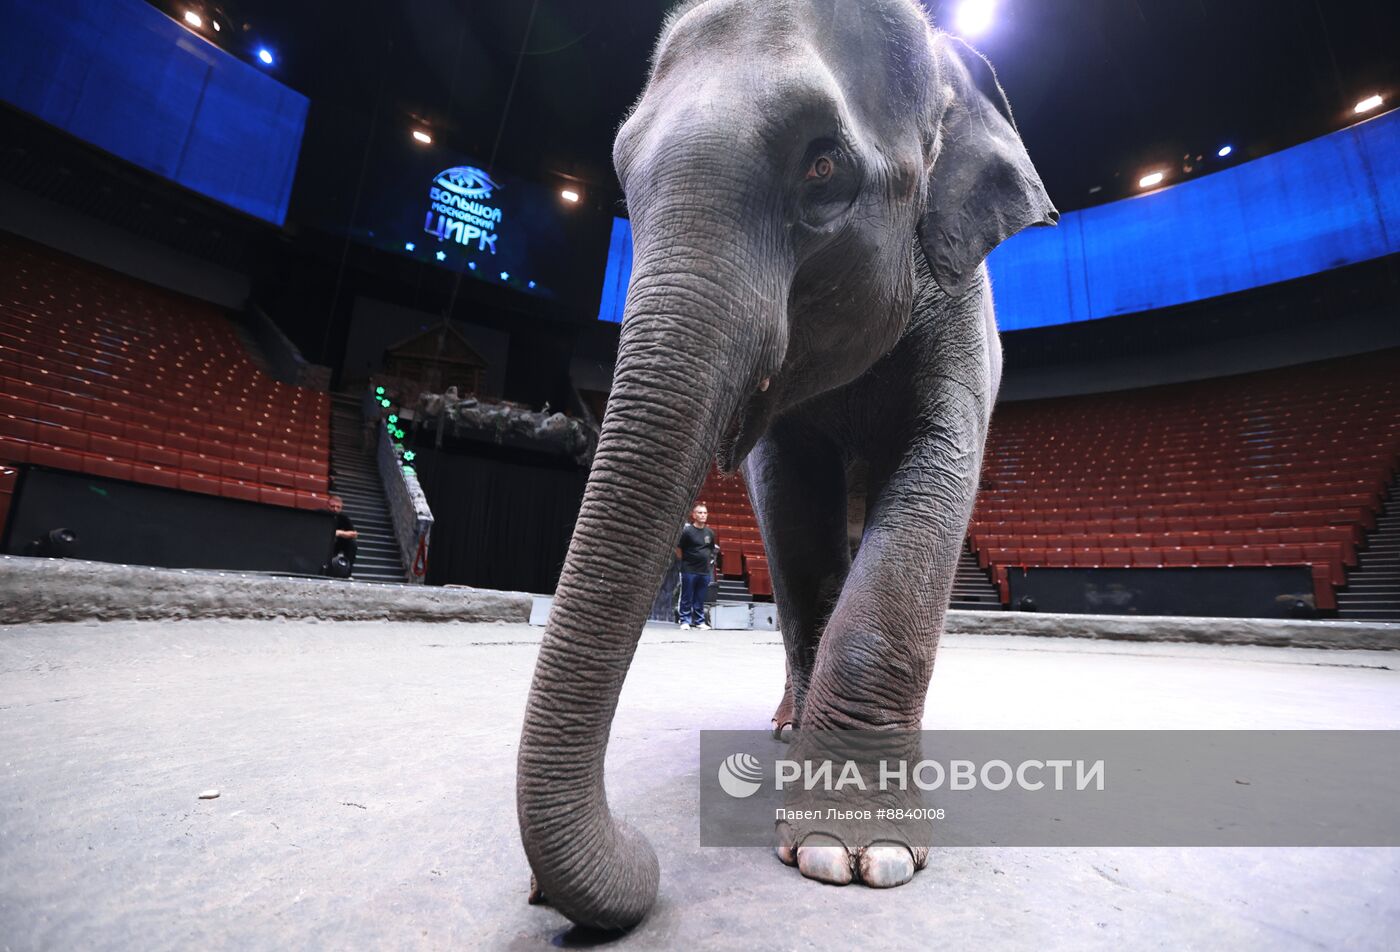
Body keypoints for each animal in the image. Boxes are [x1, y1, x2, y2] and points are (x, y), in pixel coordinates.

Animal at [515, 0, 1052, 929]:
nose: (639, 855)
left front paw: (855, 850)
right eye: (623, 178)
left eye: (823, 165)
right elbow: (790, 507)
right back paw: (783, 723)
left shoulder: (965, 316)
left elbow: (939, 470)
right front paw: (818, 776)